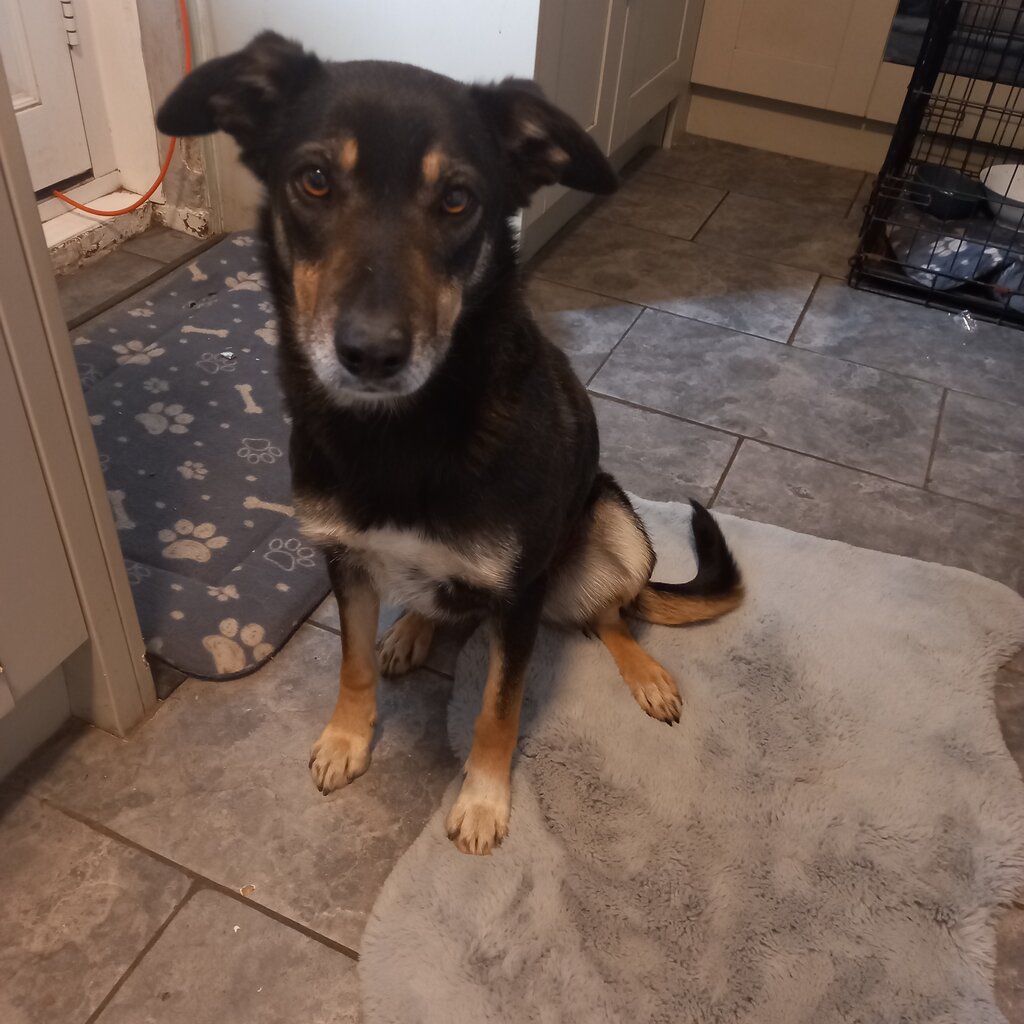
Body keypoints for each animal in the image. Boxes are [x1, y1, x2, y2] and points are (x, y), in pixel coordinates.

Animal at [155, 32, 741, 856]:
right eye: (314, 180)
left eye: (458, 200)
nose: (370, 354)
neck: (402, 431)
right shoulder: (344, 560)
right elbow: (352, 662)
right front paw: (347, 739)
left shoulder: (520, 595)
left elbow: (500, 706)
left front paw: (485, 798)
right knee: (448, 604)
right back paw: (414, 630)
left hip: (615, 528)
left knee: (610, 616)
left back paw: (647, 674)